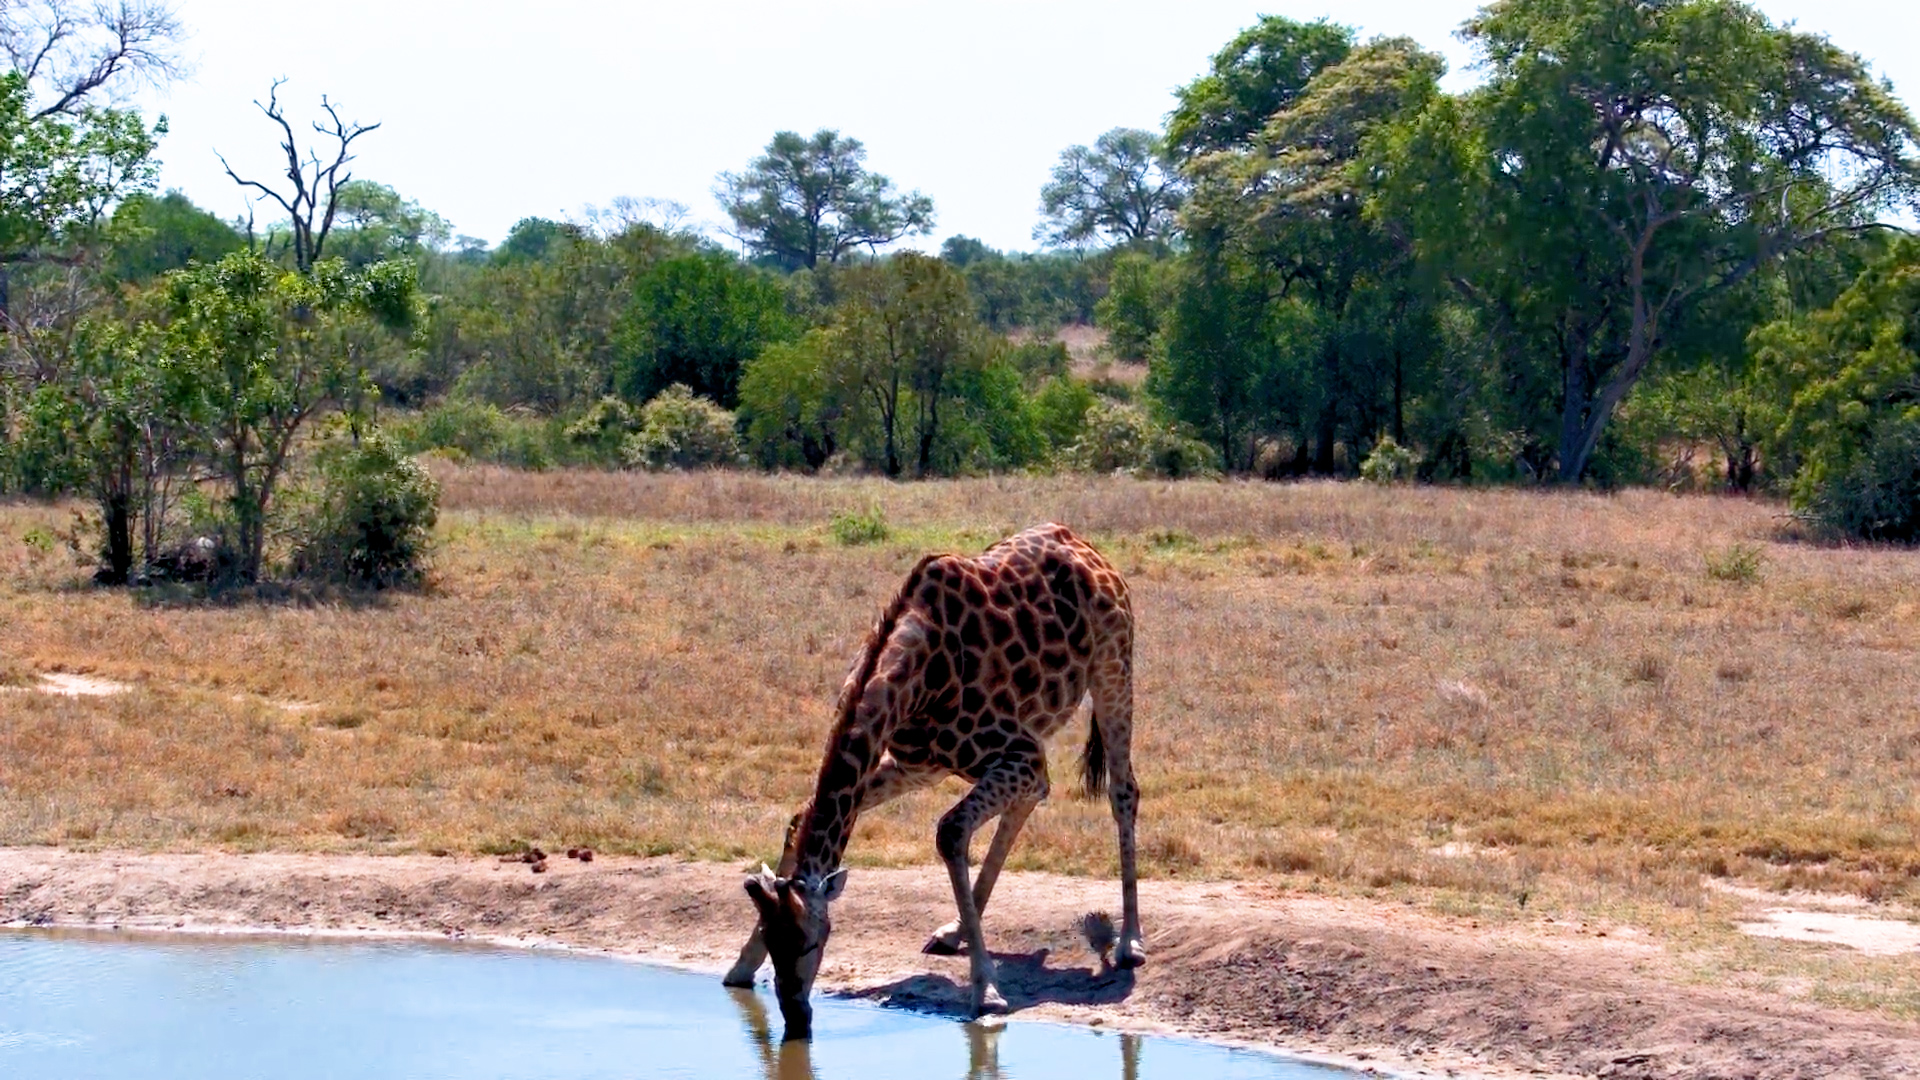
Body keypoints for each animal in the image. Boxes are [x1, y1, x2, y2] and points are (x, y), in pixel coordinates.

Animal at [722, 523, 1145, 1039]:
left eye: (814, 941)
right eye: (771, 939)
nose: (798, 1020)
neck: (914, 677)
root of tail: (1088, 548)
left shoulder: (1019, 752)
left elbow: (950, 831)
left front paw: (987, 993)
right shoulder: (917, 762)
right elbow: (804, 814)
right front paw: (741, 968)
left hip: (1113, 667)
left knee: (1123, 790)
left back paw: (1130, 943)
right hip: (973, 759)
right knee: (1034, 797)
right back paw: (954, 931)